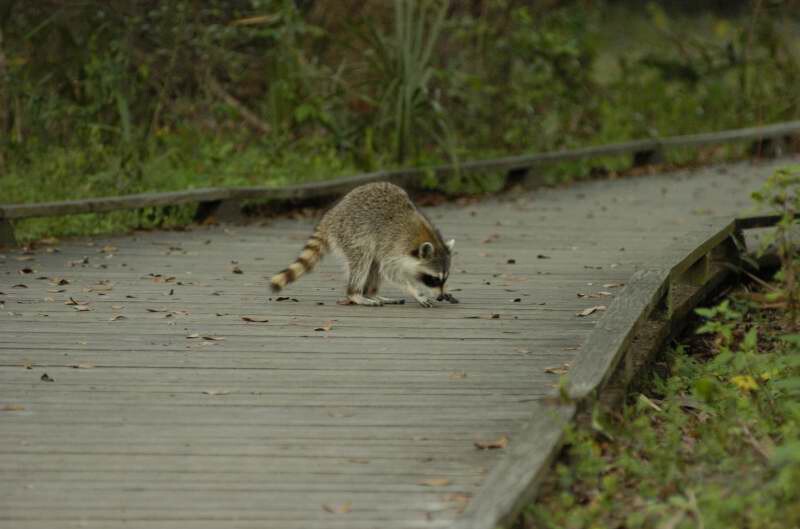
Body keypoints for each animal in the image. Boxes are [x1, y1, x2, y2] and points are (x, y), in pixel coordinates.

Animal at [268, 180, 456, 306]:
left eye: (444, 278)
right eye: (433, 279)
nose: (440, 296)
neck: (424, 236)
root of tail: (332, 214)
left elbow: (383, 268)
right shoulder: (394, 244)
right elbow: (390, 270)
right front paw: (416, 291)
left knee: (374, 263)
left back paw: (371, 293)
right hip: (352, 232)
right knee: (362, 258)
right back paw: (355, 294)